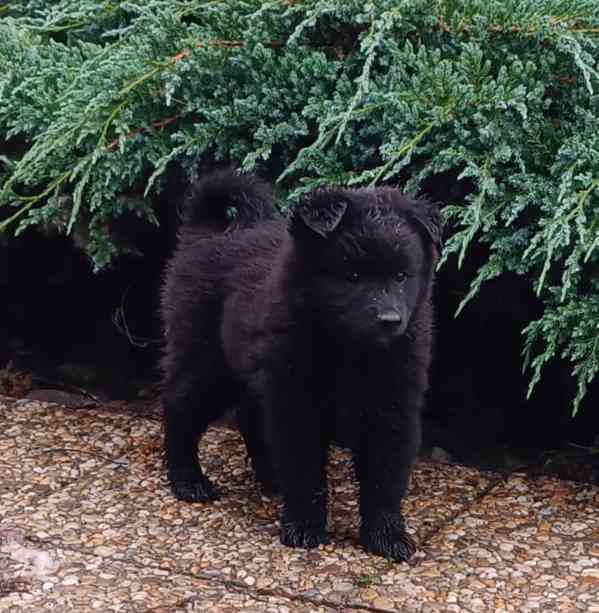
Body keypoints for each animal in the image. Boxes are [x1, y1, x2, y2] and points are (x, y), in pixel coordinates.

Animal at [162, 167, 442, 560]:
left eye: (402, 275)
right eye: (353, 276)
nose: (390, 320)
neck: (351, 351)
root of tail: (207, 233)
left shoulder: (393, 408)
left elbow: (384, 478)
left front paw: (387, 536)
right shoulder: (298, 402)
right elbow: (306, 471)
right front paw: (305, 527)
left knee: (250, 417)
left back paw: (269, 479)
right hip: (207, 361)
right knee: (180, 409)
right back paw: (188, 480)